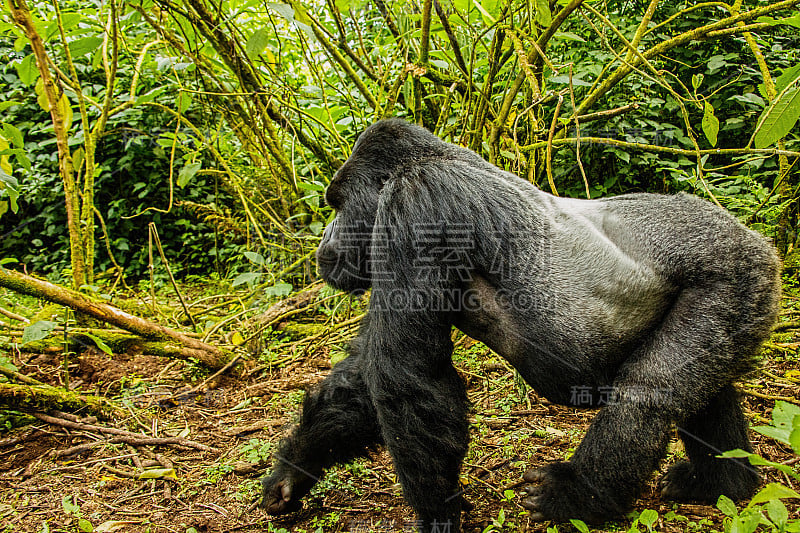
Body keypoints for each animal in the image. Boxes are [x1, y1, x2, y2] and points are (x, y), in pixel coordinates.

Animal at [260, 118, 780, 528]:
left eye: (337, 204)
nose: (323, 242)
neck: (430, 158)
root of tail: (757, 240)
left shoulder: (417, 199)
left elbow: (405, 377)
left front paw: (437, 515)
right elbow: (366, 376)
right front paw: (293, 470)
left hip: (735, 272)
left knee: (648, 395)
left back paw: (579, 494)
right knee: (705, 387)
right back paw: (722, 483)